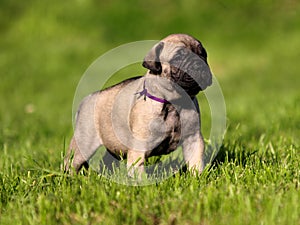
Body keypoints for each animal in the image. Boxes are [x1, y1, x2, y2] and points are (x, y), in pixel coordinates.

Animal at [64, 34, 212, 177]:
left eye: (203, 54)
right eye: (178, 57)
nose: (200, 64)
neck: (174, 103)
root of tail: (87, 98)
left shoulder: (193, 139)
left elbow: (196, 163)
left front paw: (197, 179)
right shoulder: (139, 146)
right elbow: (138, 169)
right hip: (84, 143)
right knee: (71, 162)